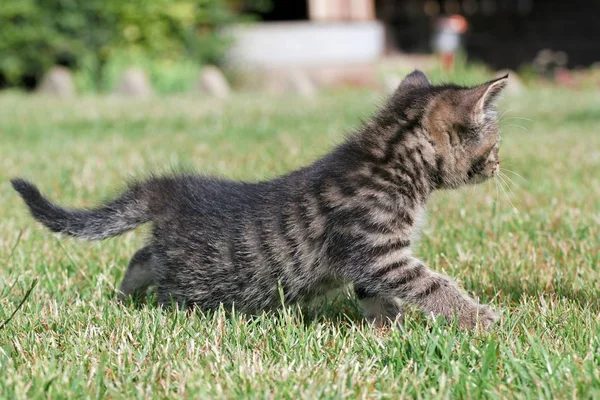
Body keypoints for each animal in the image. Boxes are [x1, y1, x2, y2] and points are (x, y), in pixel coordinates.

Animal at [10, 71, 506, 328]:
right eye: (496, 144)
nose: (500, 165)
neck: (390, 163)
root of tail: (168, 189)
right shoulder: (381, 251)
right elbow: (433, 285)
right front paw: (481, 318)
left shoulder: (374, 258)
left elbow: (377, 295)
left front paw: (386, 330)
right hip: (194, 275)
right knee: (161, 275)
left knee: (140, 255)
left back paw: (123, 295)